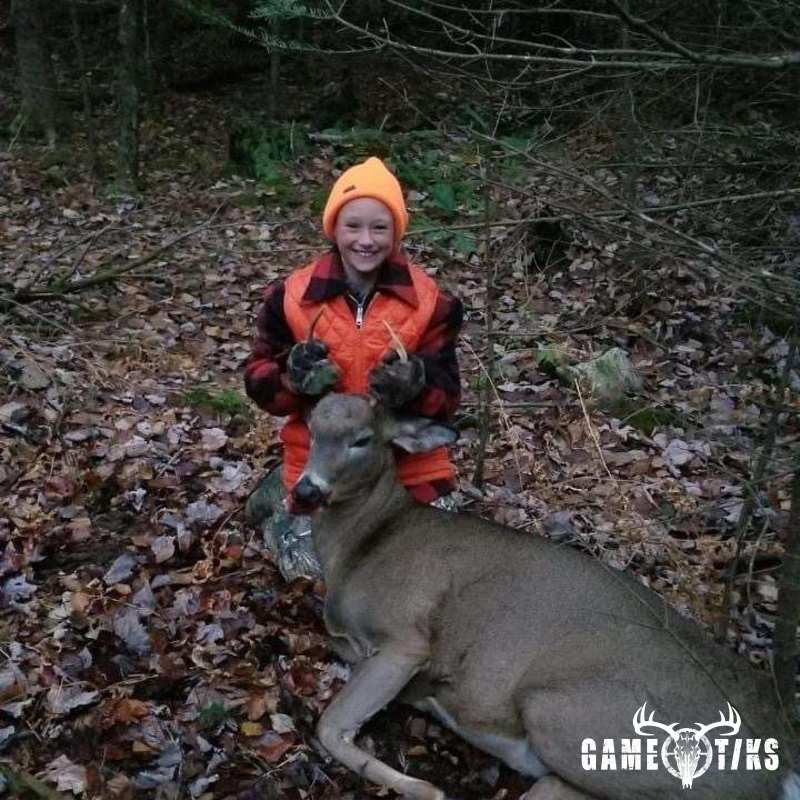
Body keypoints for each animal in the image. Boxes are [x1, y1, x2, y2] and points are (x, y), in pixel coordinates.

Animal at [290, 392, 799, 800]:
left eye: (362, 440)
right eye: (312, 429)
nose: (306, 491)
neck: (364, 546)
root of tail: (783, 762)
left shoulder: (406, 634)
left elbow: (331, 726)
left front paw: (424, 788)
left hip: (564, 710)